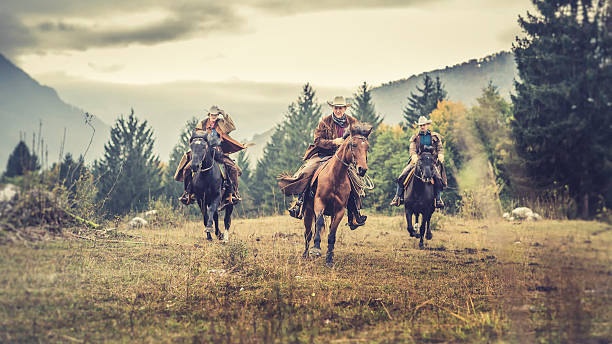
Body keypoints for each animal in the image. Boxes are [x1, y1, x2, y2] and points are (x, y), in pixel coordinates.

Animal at [302, 122, 372, 268]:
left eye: (367, 147)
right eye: (353, 144)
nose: (362, 169)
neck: (335, 177)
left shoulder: (339, 211)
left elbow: (332, 234)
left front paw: (329, 259)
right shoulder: (319, 203)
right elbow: (319, 223)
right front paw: (316, 249)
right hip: (308, 211)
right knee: (308, 233)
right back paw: (305, 255)